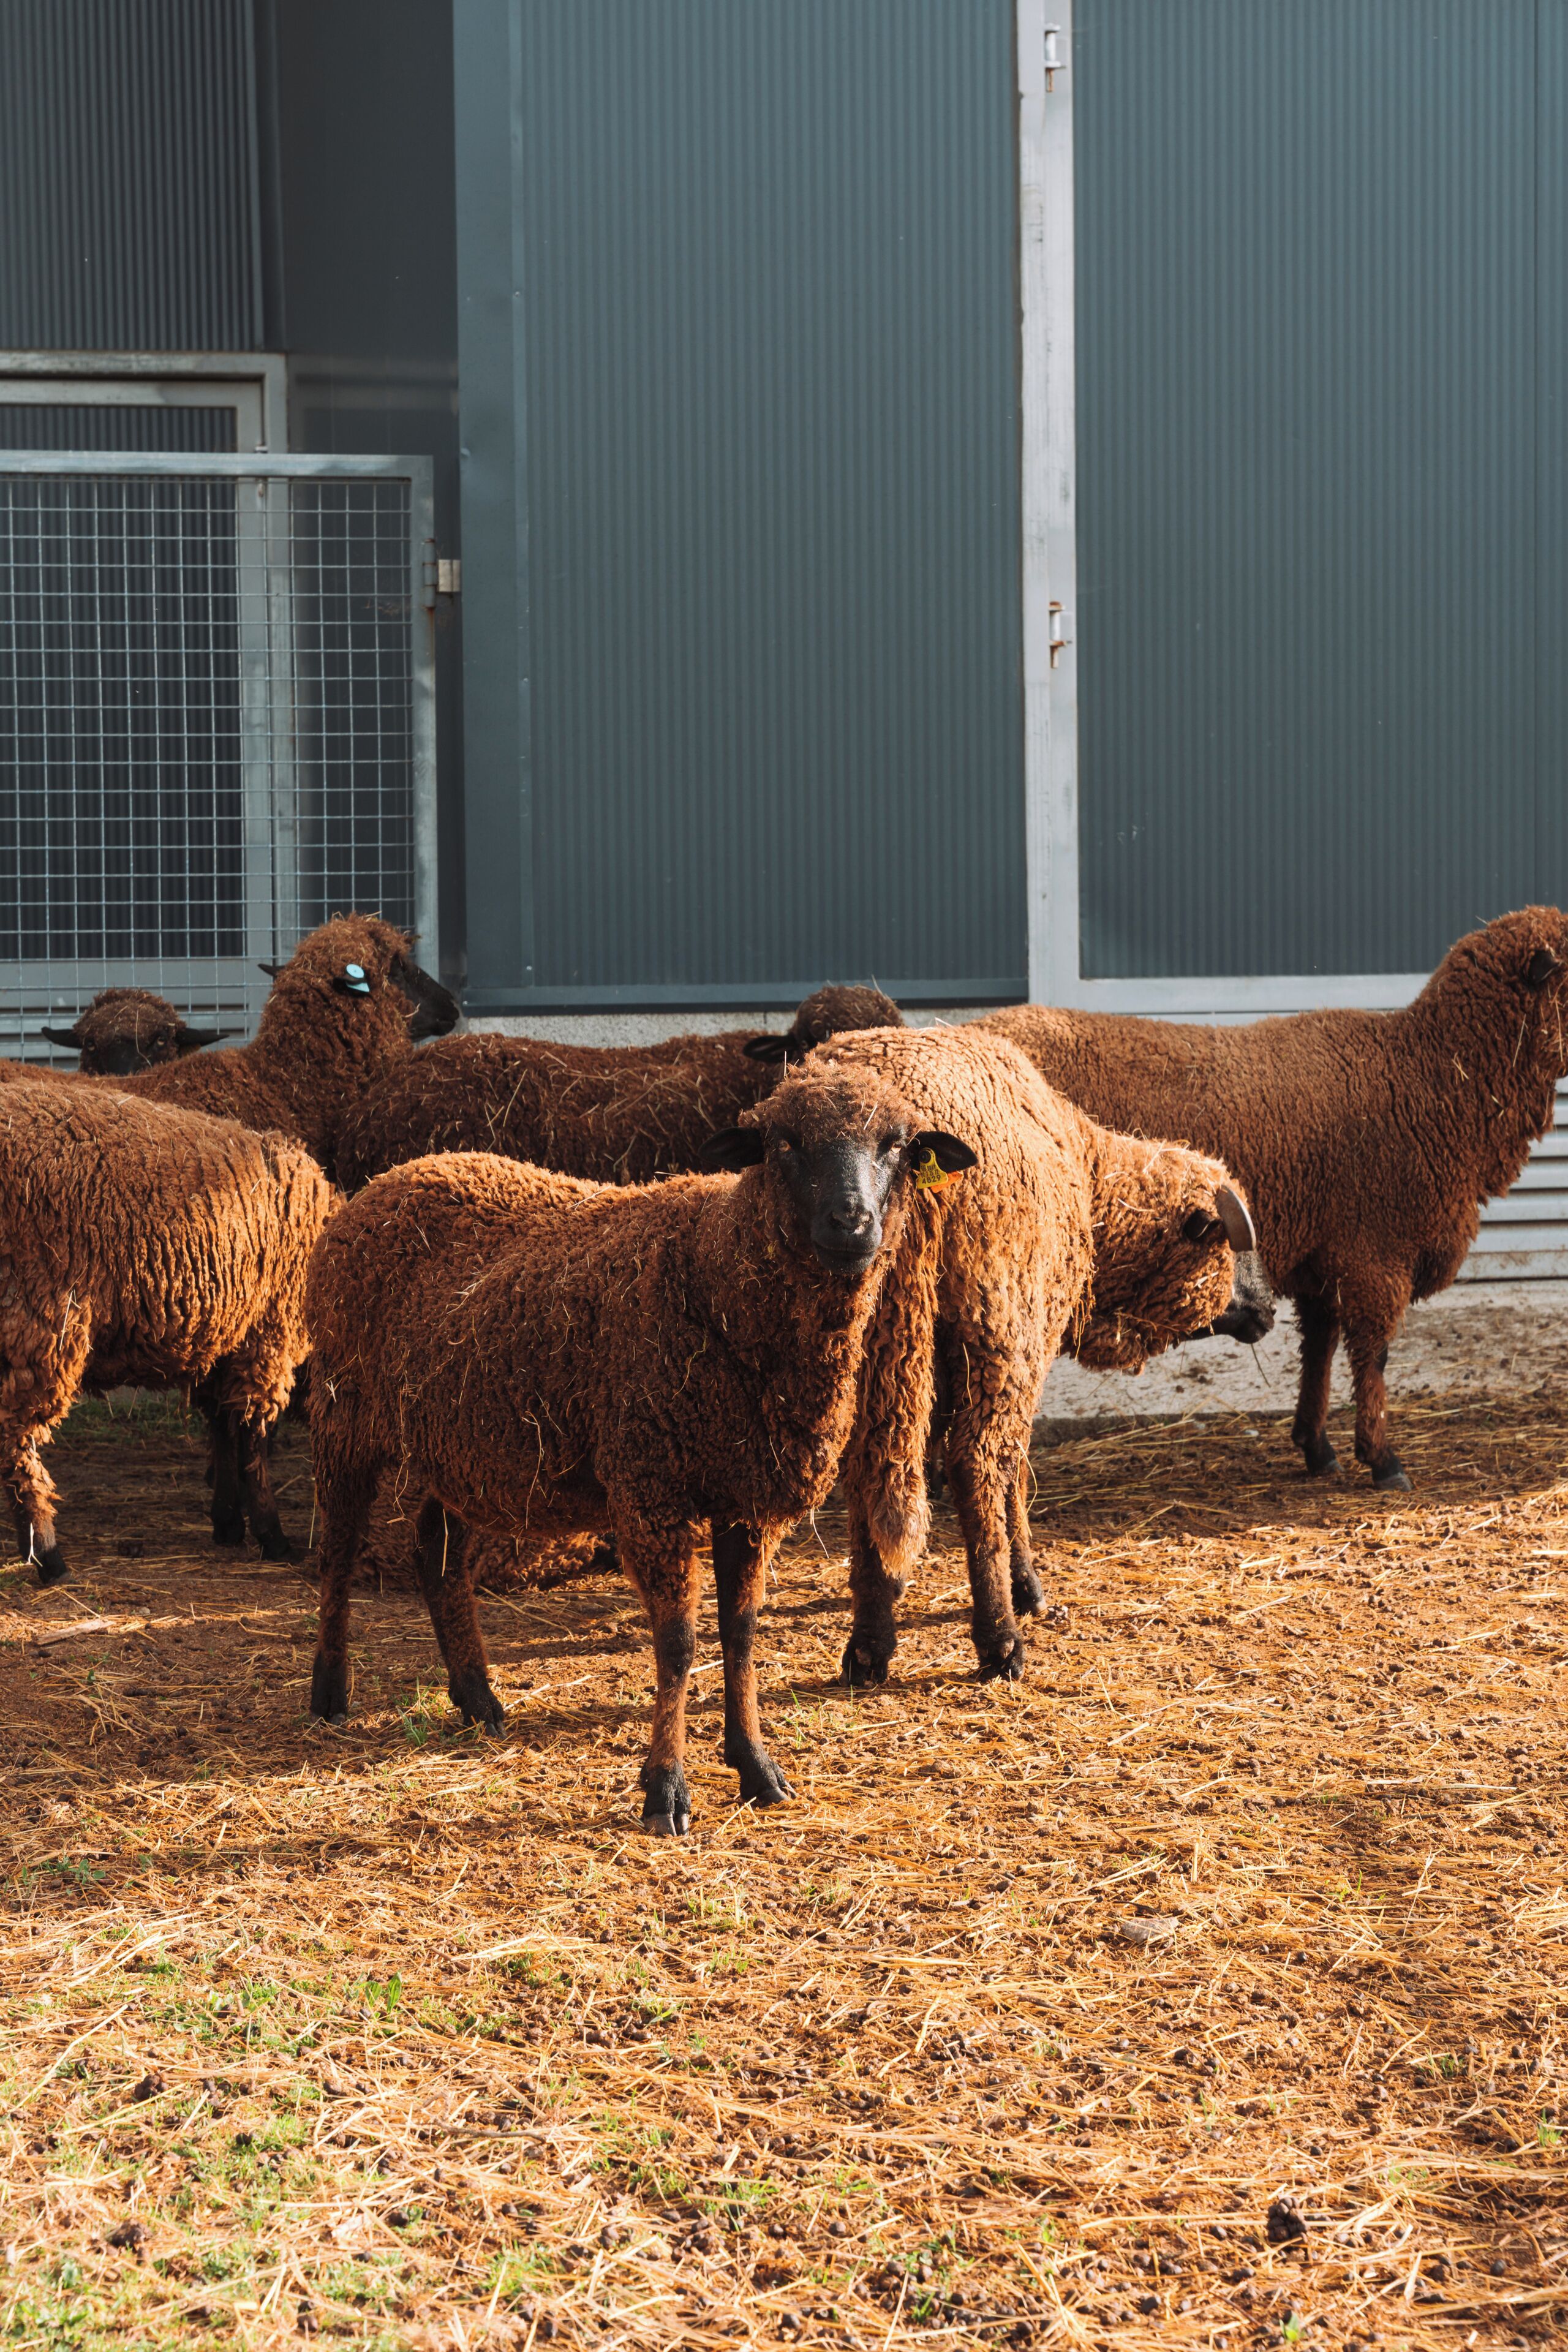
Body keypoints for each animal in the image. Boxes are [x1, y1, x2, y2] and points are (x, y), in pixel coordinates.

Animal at [0, 1079, 333, 1584]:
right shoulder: (269, 1335)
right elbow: (252, 1437)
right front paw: (271, 1534)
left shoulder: (225, 1344)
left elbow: (223, 1428)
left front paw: (228, 1522)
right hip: (40, 1320)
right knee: (17, 1439)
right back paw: (50, 1556)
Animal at [303, 1065, 974, 1833]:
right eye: (783, 1143)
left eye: (897, 1144)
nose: (851, 1224)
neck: (719, 1271)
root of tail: (384, 1183)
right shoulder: (653, 1491)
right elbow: (678, 1642)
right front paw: (666, 1790)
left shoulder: (748, 1499)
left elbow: (740, 1632)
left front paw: (756, 1768)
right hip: (344, 1413)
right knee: (338, 1554)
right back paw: (330, 1694)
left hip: (464, 1446)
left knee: (435, 1558)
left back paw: (478, 1699)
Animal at [810, 1028, 1254, 1684]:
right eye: (1228, 1251)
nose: (1268, 1314)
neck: (1088, 1174)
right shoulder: (1027, 1348)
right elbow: (1012, 1470)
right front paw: (1022, 1586)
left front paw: (895, 1580)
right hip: (996, 1326)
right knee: (978, 1465)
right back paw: (1002, 1639)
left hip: (869, 1340)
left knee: (871, 1463)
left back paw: (868, 1646)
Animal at [977, 906, 1568, 1488]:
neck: (1436, 1078)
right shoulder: (1375, 1253)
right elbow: (1373, 1354)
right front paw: (1383, 1460)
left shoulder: (1325, 1253)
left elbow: (1320, 1348)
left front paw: (1317, 1446)